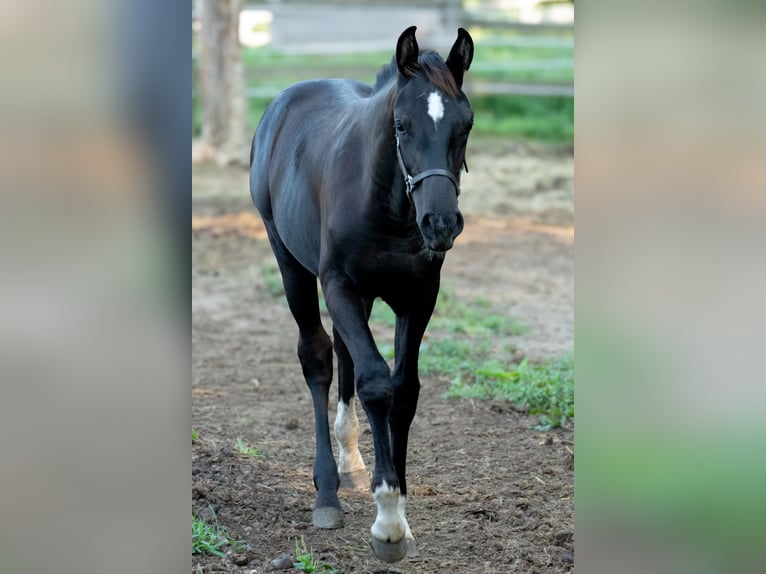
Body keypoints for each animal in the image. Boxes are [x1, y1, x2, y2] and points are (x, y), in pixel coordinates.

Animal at [252, 25, 474, 564]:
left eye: (466, 125)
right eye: (401, 125)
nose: (440, 223)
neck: (389, 207)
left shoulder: (419, 296)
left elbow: (404, 389)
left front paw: (401, 508)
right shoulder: (339, 287)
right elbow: (376, 381)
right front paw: (388, 519)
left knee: (342, 354)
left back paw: (352, 461)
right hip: (289, 260)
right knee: (318, 357)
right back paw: (328, 493)